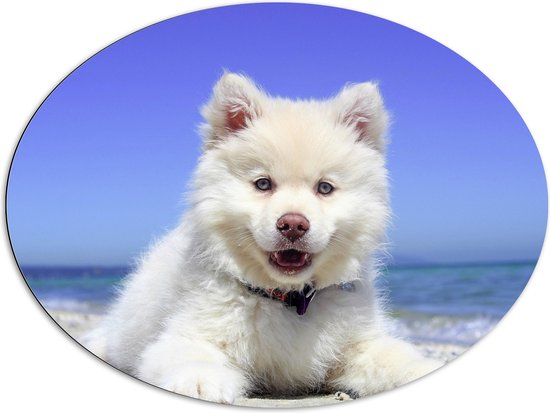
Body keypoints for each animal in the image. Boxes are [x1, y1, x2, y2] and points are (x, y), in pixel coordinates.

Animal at [83, 71, 444, 402]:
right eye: (263, 184)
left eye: (325, 188)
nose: (293, 224)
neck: (288, 300)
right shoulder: (188, 331)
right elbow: (189, 354)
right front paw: (198, 381)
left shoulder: (358, 344)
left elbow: (393, 358)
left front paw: (421, 370)